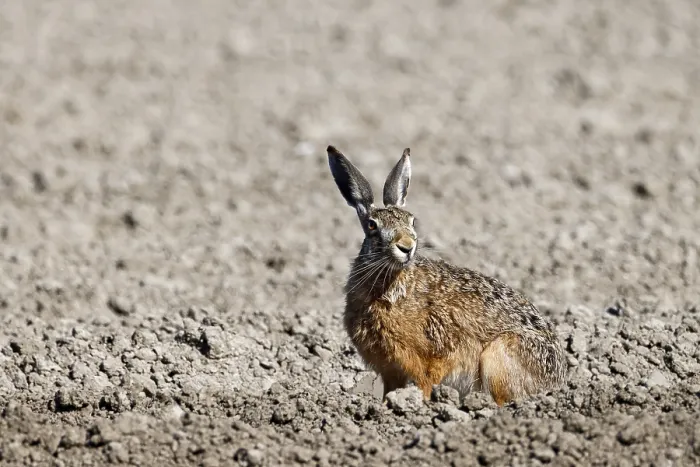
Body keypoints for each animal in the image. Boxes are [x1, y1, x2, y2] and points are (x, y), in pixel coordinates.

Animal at [327, 145, 566, 406]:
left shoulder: (432, 355)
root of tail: (558, 382)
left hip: (498, 357)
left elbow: (428, 380)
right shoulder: (390, 369)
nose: (407, 246)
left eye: (412, 220)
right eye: (372, 225)